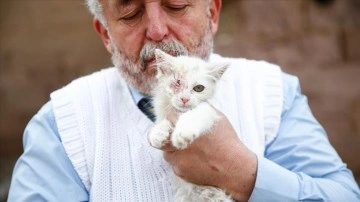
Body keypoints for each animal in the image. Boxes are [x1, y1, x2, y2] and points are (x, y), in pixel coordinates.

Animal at [148, 49, 232, 202]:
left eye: (199, 88)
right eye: (177, 83)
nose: (184, 99)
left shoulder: (210, 111)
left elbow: (194, 115)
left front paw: (183, 134)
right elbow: (164, 121)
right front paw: (158, 133)